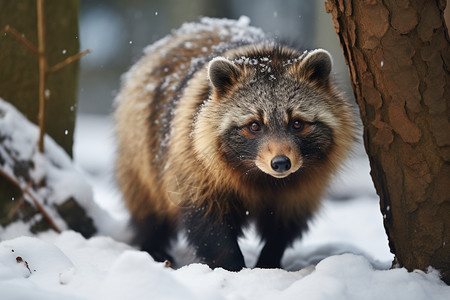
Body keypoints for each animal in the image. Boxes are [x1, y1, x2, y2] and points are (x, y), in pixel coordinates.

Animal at [113, 17, 356, 272]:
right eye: (254, 125)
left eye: (297, 123)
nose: (281, 163)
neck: (263, 178)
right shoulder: (193, 164)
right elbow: (210, 225)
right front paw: (232, 266)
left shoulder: (303, 190)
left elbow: (283, 228)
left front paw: (269, 261)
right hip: (140, 147)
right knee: (148, 206)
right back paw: (153, 244)